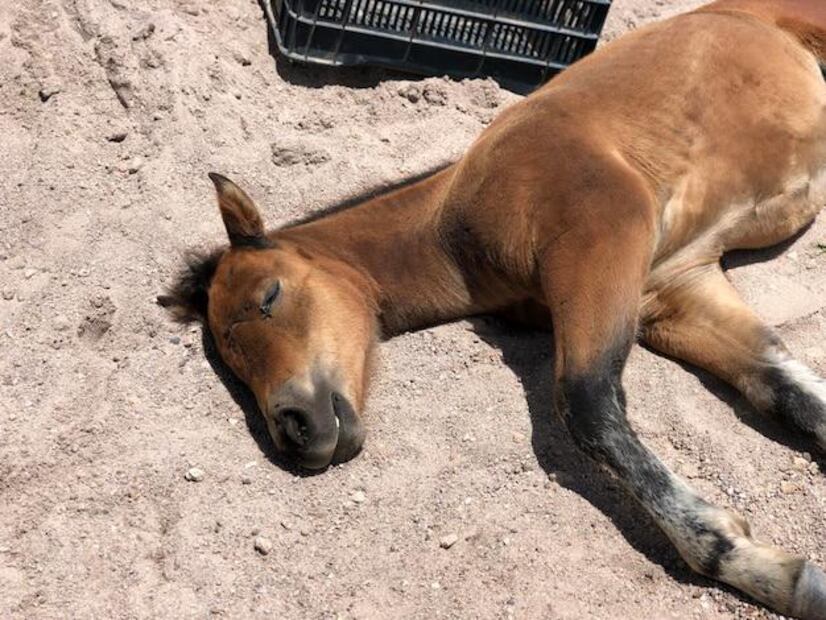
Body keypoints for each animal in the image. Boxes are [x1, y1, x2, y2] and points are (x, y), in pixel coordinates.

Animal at [160, 0, 826, 616]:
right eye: (231, 363)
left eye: (270, 295)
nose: (295, 430)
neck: (458, 224)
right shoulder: (675, 285)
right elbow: (785, 388)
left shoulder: (607, 232)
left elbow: (588, 403)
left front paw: (759, 565)